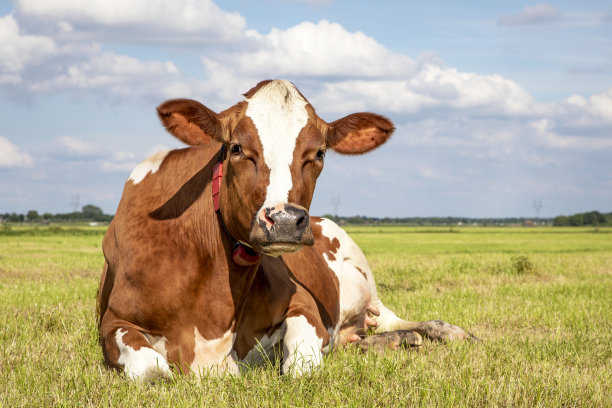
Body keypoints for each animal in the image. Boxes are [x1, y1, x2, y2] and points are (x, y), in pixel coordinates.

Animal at [97, 79, 468, 380]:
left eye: (319, 153)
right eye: (236, 148)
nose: (287, 221)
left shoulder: (303, 302)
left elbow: (302, 366)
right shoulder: (113, 321)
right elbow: (153, 371)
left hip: (366, 280)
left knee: (393, 318)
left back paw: (444, 332)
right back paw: (394, 341)